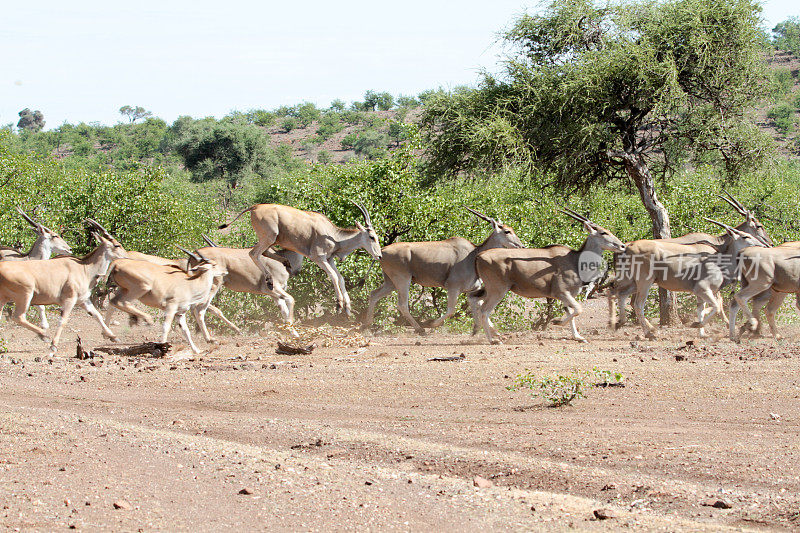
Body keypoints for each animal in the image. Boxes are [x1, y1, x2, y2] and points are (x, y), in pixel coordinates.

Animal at [0, 218, 126, 356]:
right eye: (117, 245)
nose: (126, 256)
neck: (84, 268)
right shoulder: (69, 299)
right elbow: (63, 321)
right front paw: (53, 346)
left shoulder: (83, 300)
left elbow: (97, 315)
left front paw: (113, 336)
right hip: (25, 295)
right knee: (18, 317)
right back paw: (44, 335)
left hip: (4, 299)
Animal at [219, 200, 382, 316]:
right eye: (372, 237)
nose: (379, 255)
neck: (333, 235)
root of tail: (255, 207)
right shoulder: (319, 257)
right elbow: (333, 276)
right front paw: (339, 305)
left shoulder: (329, 259)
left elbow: (340, 277)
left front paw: (347, 308)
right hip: (270, 236)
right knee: (253, 253)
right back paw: (270, 279)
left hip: (271, 240)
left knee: (263, 253)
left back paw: (285, 263)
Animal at [364, 208, 524, 332]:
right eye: (507, 231)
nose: (521, 246)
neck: (473, 255)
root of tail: (382, 251)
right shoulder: (453, 287)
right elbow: (451, 310)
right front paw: (431, 323)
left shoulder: (472, 291)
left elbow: (481, 309)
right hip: (403, 280)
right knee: (402, 305)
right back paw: (420, 329)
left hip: (390, 282)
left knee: (374, 294)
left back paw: (365, 325)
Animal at [472, 206, 628, 342]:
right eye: (603, 233)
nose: (622, 246)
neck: (574, 259)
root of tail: (480, 256)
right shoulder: (561, 292)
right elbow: (578, 309)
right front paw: (556, 322)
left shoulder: (568, 295)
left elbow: (570, 311)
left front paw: (577, 337)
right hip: (498, 290)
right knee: (484, 310)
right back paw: (492, 340)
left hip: (491, 290)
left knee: (476, 301)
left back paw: (490, 332)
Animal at [608, 193, 772, 328]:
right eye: (759, 226)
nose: (768, 244)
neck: (718, 245)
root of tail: (626, 247)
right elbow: (718, 303)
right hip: (643, 281)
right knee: (632, 301)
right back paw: (647, 330)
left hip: (633, 281)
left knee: (622, 296)